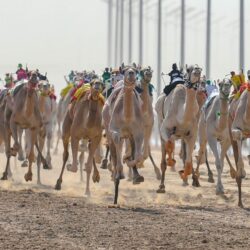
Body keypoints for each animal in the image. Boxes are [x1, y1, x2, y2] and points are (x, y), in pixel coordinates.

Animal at [102, 66, 145, 205]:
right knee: (113, 152)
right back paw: (115, 173)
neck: (126, 117)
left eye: (135, 70)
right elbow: (117, 147)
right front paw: (119, 172)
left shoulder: (137, 132)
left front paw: (133, 170)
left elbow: (137, 155)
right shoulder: (114, 131)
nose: (131, 73)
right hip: (108, 131)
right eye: (126, 70)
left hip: (129, 136)